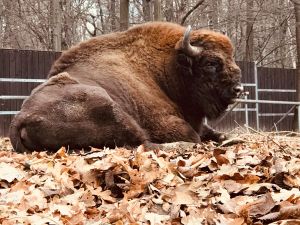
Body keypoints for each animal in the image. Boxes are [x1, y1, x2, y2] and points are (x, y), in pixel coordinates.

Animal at [9, 22, 243, 152]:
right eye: (211, 63)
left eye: (231, 57)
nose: (238, 89)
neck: (168, 67)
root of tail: (21, 118)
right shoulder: (164, 122)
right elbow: (193, 135)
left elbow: (213, 133)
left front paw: (231, 138)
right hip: (109, 106)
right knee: (144, 143)